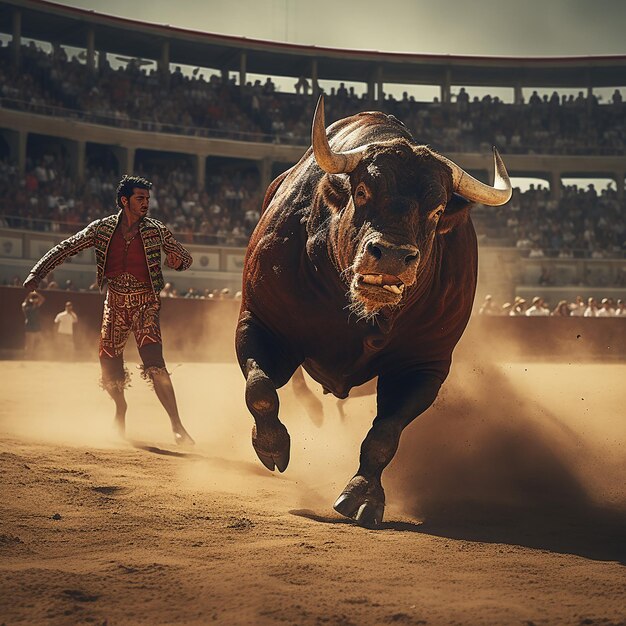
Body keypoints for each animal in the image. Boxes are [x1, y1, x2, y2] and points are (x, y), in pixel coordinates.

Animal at [234, 96, 508, 528]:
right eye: (362, 191)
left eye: (437, 210)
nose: (393, 255)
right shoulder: (259, 321)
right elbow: (260, 389)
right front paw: (272, 446)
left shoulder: (424, 364)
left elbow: (385, 434)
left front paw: (363, 496)